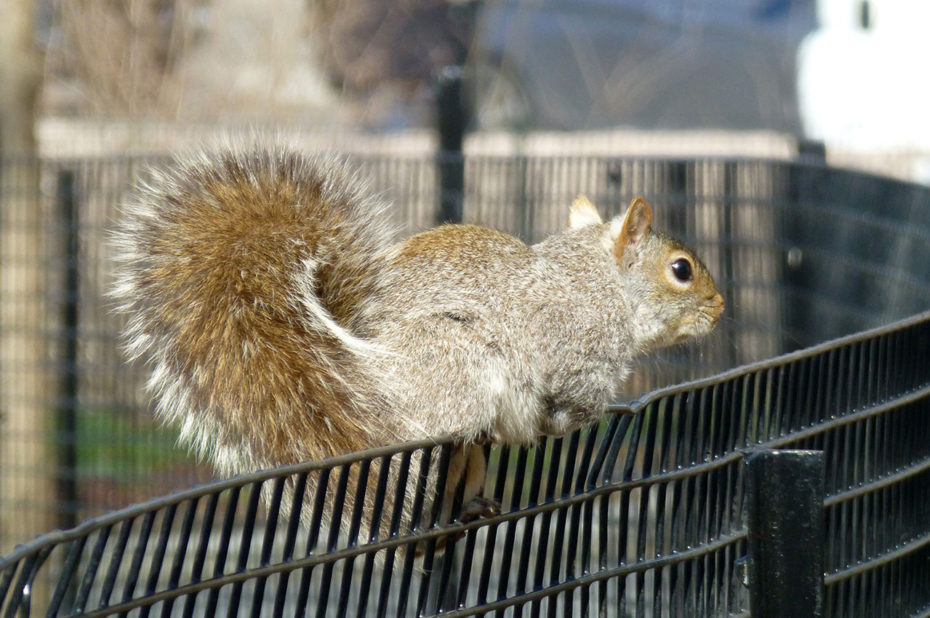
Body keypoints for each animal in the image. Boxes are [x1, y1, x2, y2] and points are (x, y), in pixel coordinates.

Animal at [112, 143, 724, 544]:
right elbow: (569, 403)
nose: (720, 309)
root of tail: (359, 378)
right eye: (681, 270)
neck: (601, 285)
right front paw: (578, 419)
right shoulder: (572, 350)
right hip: (455, 359)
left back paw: (469, 508)